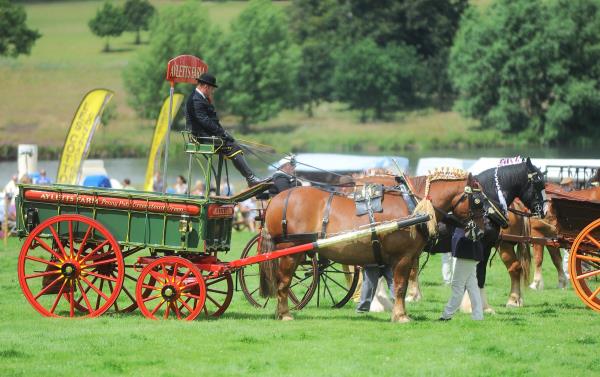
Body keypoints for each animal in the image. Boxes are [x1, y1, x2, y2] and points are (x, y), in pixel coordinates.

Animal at [260, 169, 486, 322]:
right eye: (478, 200)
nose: (484, 230)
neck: (414, 206)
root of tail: (276, 200)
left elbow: (399, 286)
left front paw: (399, 312)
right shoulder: (403, 257)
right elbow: (400, 286)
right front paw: (400, 316)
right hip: (290, 251)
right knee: (283, 282)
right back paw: (285, 314)